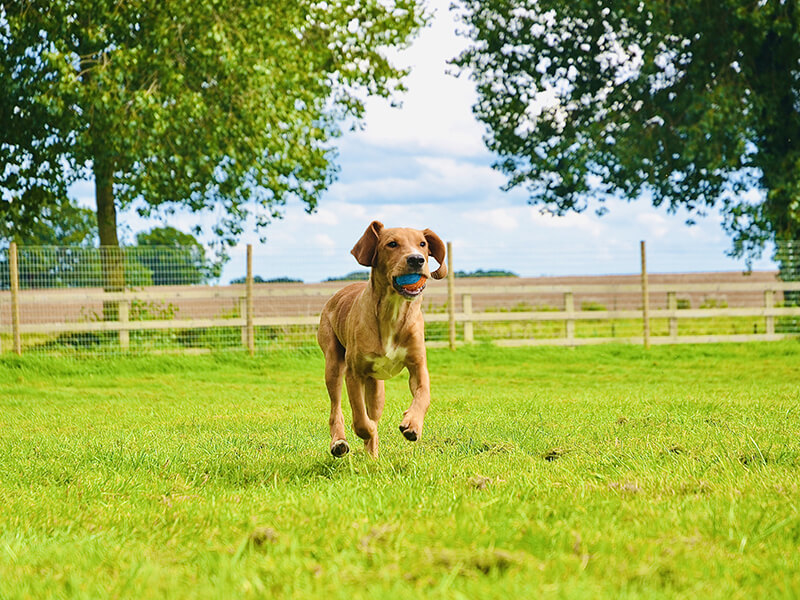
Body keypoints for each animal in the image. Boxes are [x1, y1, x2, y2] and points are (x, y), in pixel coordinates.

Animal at [316, 223, 446, 458]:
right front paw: (365, 430)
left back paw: (372, 456)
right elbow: (359, 416)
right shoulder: (354, 373)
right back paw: (339, 442)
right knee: (336, 409)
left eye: (423, 244)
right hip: (333, 364)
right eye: (391, 244)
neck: (393, 311)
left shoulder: (418, 366)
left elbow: (423, 395)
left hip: (376, 387)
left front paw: (412, 424)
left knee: (373, 411)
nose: (416, 259)